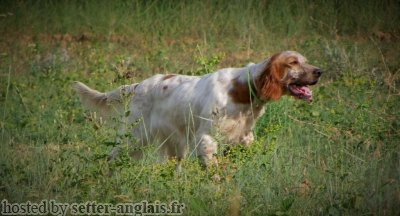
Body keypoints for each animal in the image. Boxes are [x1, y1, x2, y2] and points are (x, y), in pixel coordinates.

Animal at [73, 50, 322, 167]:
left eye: (305, 60)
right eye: (293, 62)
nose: (319, 71)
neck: (242, 91)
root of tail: (139, 85)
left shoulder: (243, 139)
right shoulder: (207, 140)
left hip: (173, 145)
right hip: (133, 136)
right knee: (111, 159)